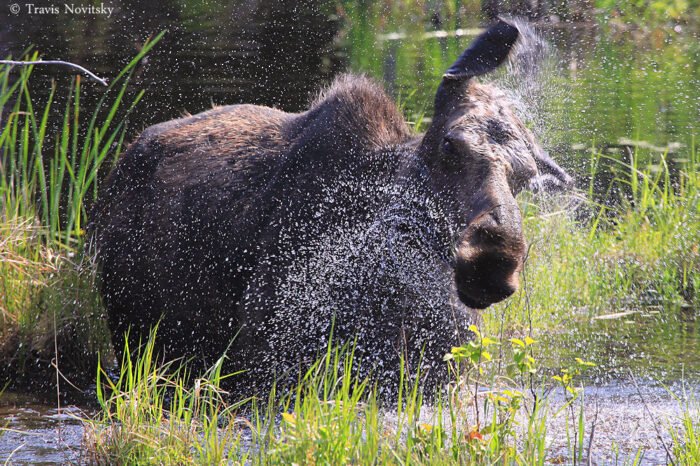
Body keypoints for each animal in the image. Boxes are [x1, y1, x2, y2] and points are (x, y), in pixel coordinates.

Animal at [90, 20, 572, 396]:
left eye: (527, 176)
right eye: (450, 144)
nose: (494, 260)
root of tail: (121, 166)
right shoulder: (267, 366)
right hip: (135, 336)